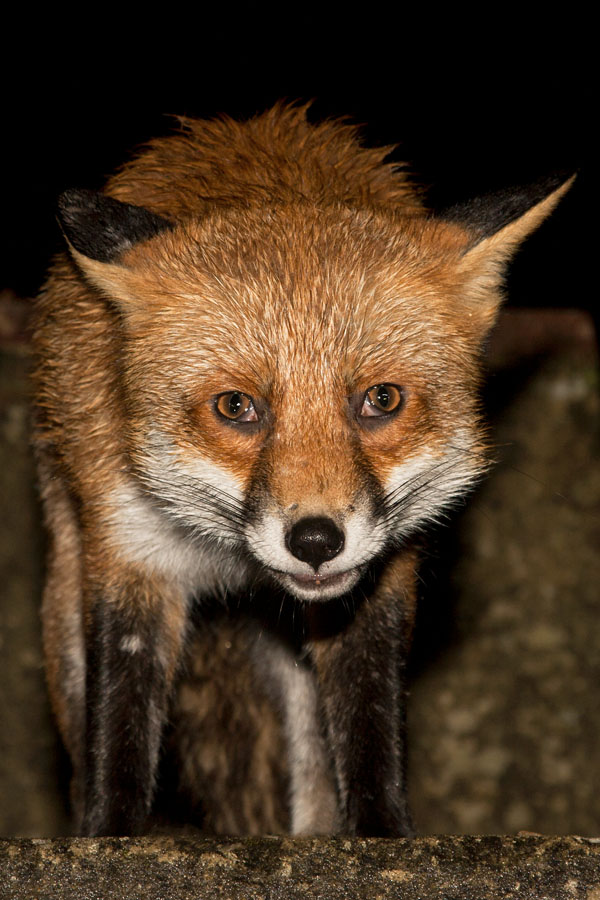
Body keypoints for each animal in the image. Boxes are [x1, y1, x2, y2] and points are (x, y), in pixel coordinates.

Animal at [32, 103, 572, 838]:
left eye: (381, 400)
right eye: (236, 407)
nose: (315, 541)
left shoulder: (380, 574)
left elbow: (369, 727)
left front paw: (379, 840)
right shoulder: (130, 554)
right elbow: (119, 734)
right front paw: (108, 840)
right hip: (65, 595)